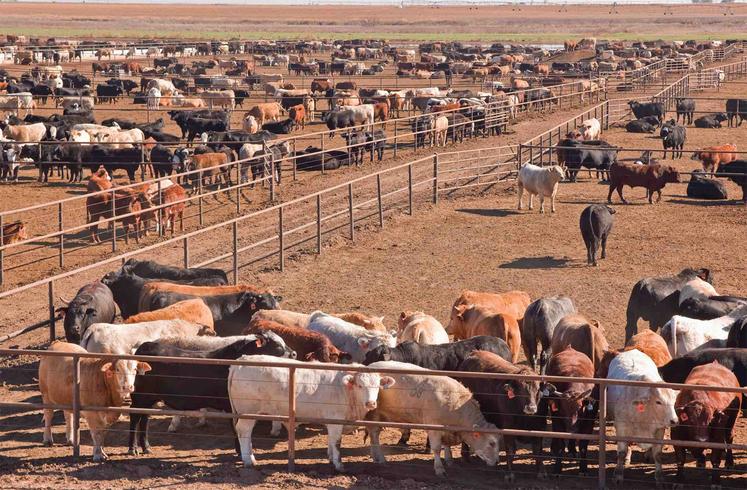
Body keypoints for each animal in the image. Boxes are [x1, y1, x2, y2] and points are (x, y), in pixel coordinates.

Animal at [129, 334, 296, 456]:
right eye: (278, 346)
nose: (294, 353)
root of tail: (146, 345)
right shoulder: (232, 406)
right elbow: (236, 427)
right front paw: (240, 451)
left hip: (149, 398)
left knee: (144, 418)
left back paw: (146, 447)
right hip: (140, 396)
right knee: (135, 417)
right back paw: (133, 448)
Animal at [229, 356, 398, 470]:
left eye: (377, 386)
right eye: (360, 385)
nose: (371, 403)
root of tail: (242, 361)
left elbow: (331, 441)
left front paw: (330, 458)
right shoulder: (335, 419)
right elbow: (337, 442)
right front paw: (338, 464)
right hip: (248, 412)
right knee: (244, 432)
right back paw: (249, 461)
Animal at [612, 350, 680, 484]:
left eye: (674, 401)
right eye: (658, 402)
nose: (674, 421)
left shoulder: (659, 430)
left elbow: (657, 454)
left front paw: (659, 477)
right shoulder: (622, 427)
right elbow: (621, 452)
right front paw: (618, 474)